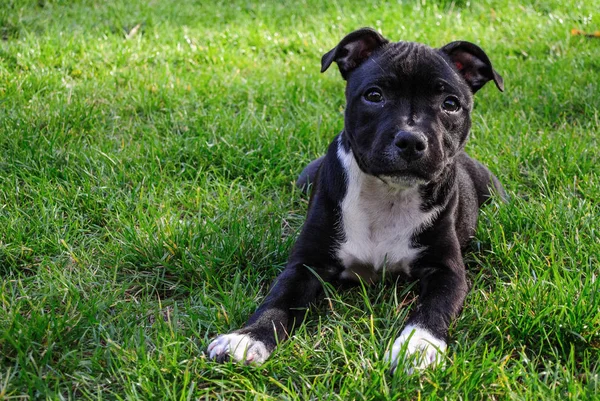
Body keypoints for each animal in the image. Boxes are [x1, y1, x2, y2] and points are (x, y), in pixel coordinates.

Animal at [209, 27, 504, 372]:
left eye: (451, 104)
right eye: (374, 96)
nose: (410, 140)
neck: (388, 194)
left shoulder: (448, 271)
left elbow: (433, 308)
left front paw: (417, 346)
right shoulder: (306, 265)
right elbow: (280, 298)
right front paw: (248, 337)